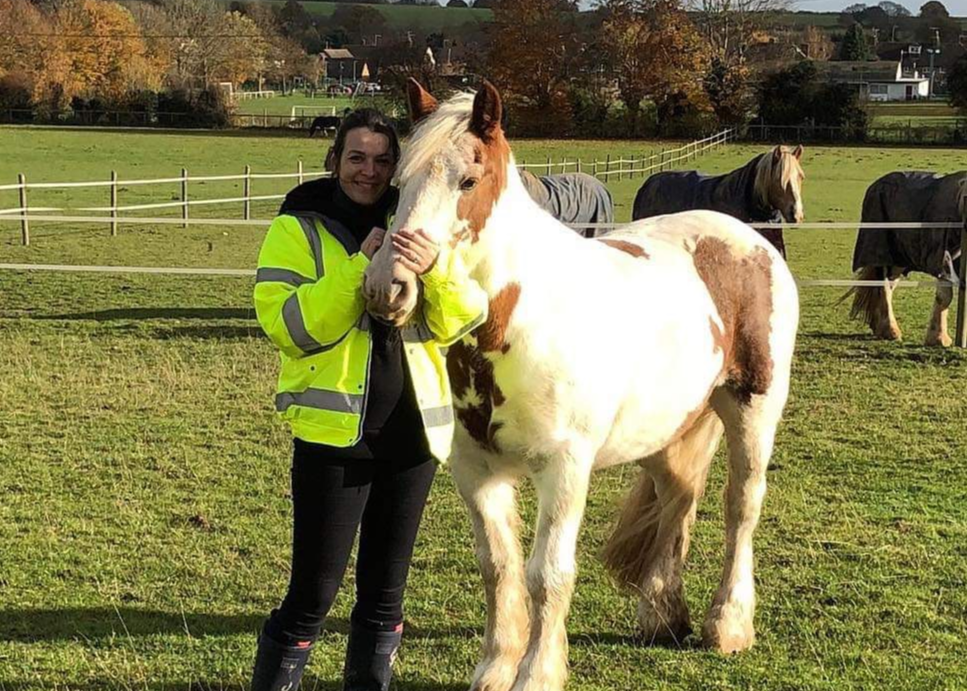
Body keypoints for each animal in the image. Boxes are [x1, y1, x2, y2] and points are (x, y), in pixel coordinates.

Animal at [852, 171, 964, 348]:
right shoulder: (943, 257)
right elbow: (944, 296)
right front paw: (939, 339)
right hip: (883, 252)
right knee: (883, 286)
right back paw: (890, 331)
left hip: (900, 258)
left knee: (889, 285)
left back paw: (880, 328)